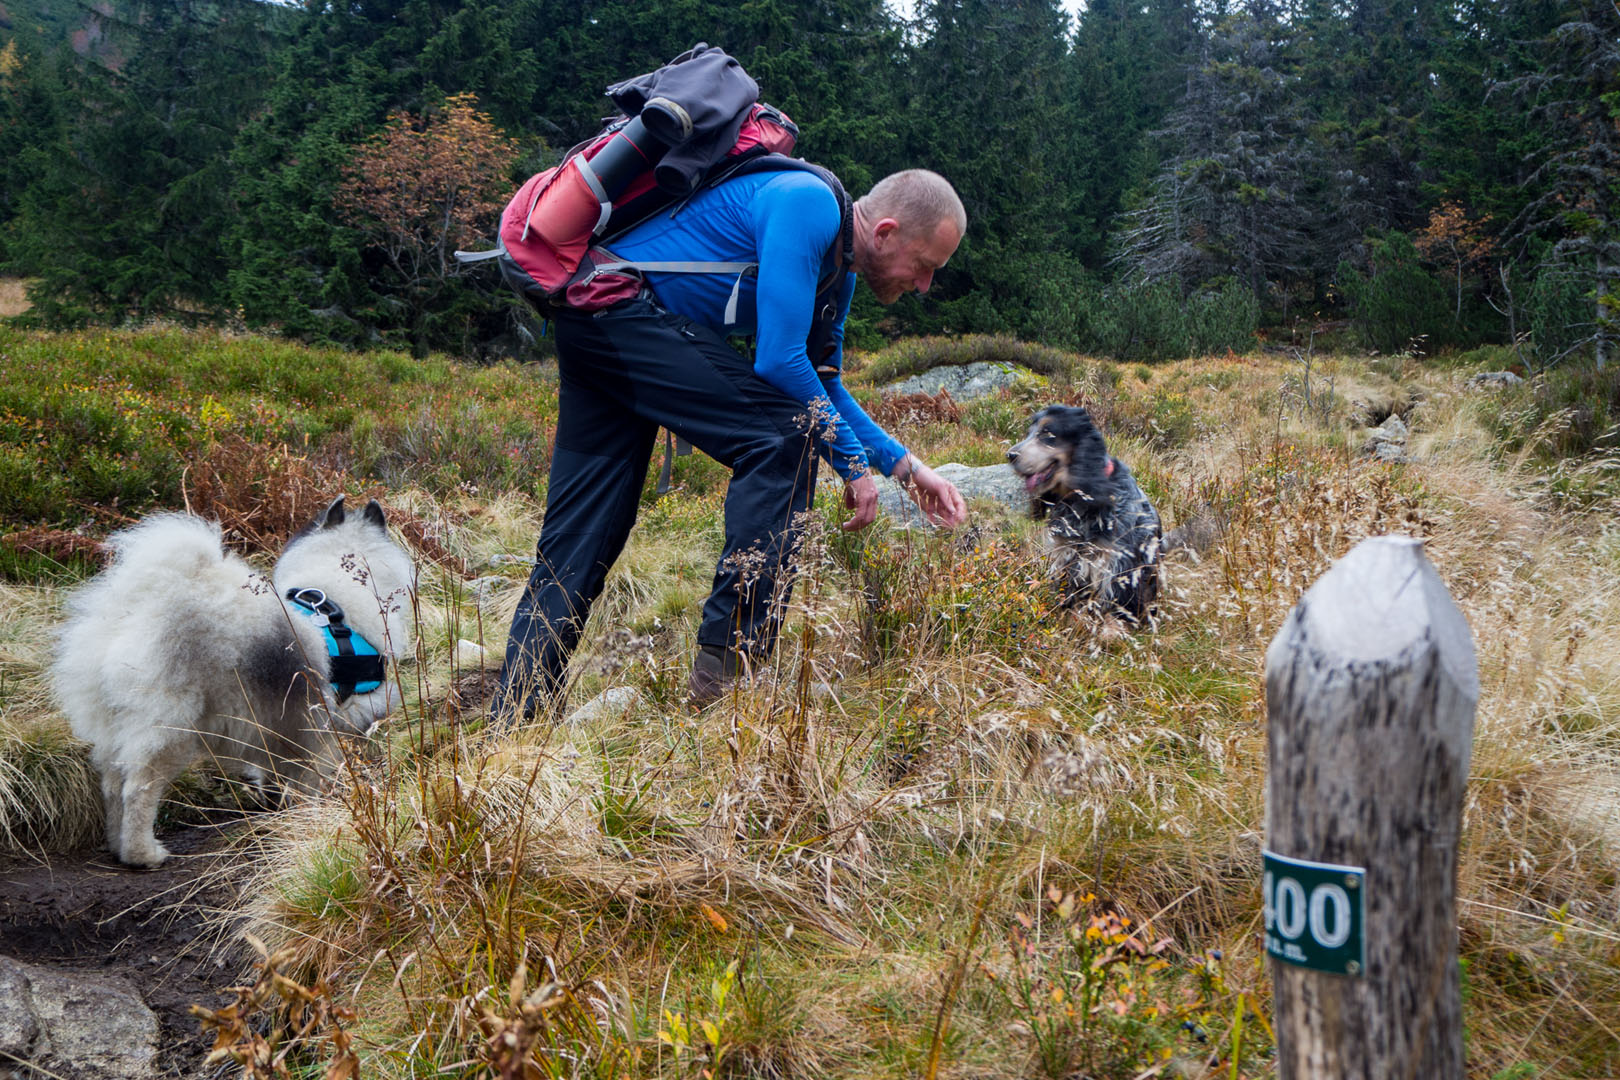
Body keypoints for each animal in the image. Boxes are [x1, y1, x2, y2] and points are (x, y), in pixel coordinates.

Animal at [53, 498, 414, 867]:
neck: (336, 604)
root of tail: (137, 612)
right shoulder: (325, 727)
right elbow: (309, 778)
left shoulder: (281, 729)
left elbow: (279, 775)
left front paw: (278, 808)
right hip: (169, 728)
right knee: (138, 789)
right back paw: (142, 853)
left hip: (114, 724)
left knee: (113, 785)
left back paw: (116, 843)